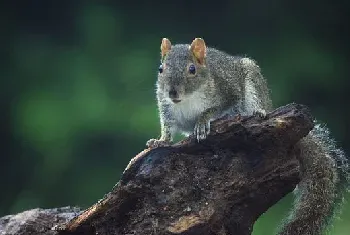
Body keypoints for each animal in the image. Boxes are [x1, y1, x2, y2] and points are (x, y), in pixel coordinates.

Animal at [146, 37, 350, 234]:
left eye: (192, 69)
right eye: (161, 69)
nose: (172, 92)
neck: (187, 100)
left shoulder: (228, 92)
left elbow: (215, 109)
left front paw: (203, 121)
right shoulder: (166, 106)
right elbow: (167, 128)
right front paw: (160, 141)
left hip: (253, 82)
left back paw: (259, 112)